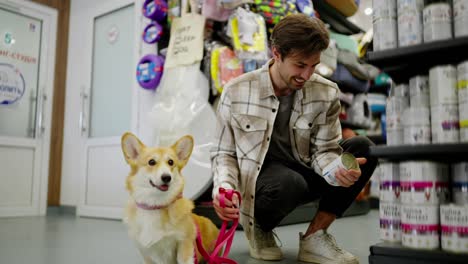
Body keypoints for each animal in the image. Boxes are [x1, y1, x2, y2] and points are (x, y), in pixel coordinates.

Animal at [120, 133, 219, 264]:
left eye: (171, 162)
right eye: (151, 162)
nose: (167, 177)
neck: (155, 205)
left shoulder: (184, 243)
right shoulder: (146, 252)